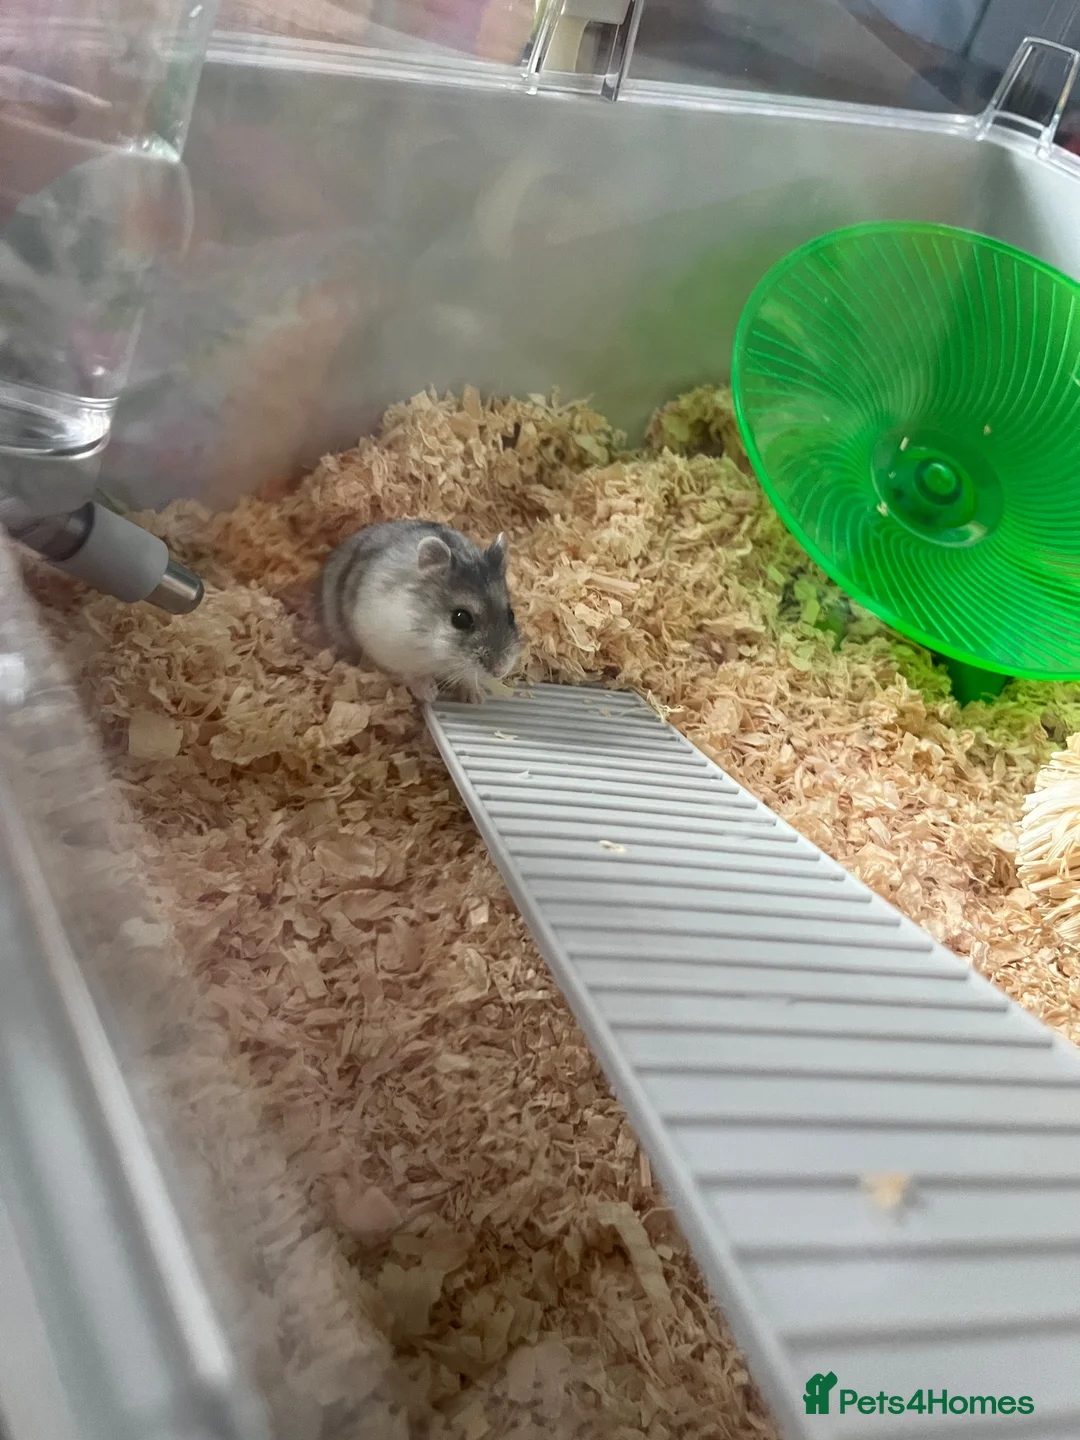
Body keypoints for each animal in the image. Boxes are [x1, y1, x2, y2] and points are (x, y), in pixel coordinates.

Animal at [319, 519, 522, 703]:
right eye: (460, 619)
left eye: (511, 615)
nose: (500, 670)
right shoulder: (388, 647)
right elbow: (411, 673)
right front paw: (430, 694)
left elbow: (468, 677)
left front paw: (477, 698)